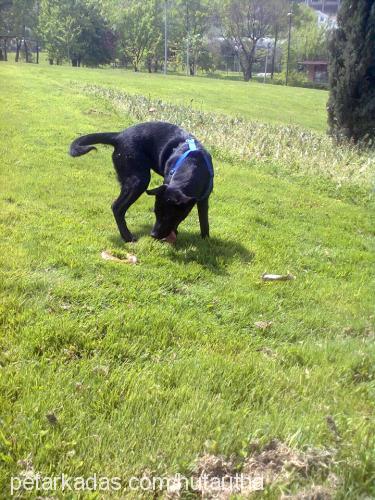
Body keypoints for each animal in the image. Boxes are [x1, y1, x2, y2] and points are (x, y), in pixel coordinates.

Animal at [68, 123, 213, 244]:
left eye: (168, 216)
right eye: (156, 213)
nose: (153, 235)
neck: (192, 164)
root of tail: (119, 136)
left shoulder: (204, 199)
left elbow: (204, 220)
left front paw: (206, 240)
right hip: (139, 180)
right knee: (117, 207)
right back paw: (127, 237)